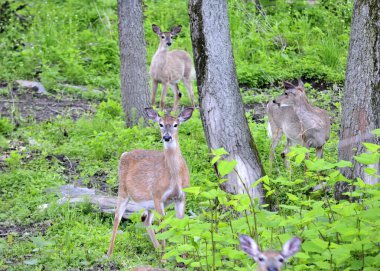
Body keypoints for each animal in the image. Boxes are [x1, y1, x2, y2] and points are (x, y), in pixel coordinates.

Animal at [107, 107, 194, 256]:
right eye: (160, 124)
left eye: (176, 124)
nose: (166, 137)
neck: (174, 178)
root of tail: (125, 153)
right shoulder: (158, 195)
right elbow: (163, 224)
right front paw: (165, 257)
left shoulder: (181, 196)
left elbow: (181, 223)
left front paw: (184, 255)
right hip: (123, 190)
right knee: (117, 216)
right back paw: (109, 254)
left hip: (148, 202)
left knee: (145, 219)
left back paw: (157, 248)